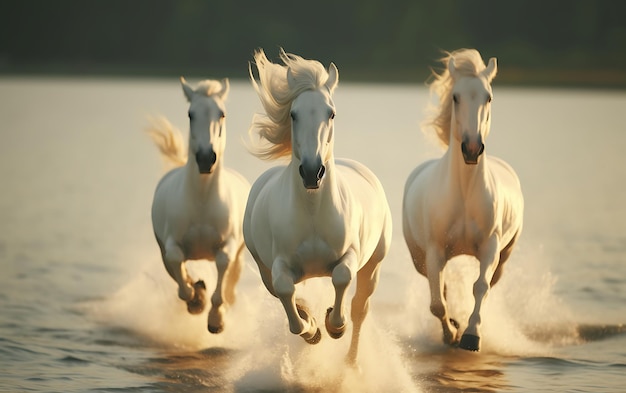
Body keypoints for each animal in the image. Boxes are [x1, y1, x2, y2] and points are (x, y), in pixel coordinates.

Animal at [147, 77, 250, 334]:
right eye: (190, 114)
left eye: (221, 114)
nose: (205, 158)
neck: (202, 201)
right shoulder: (171, 245)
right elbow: (179, 269)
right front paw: (196, 300)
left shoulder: (229, 246)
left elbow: (222, 272)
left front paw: (216, 320)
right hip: (162, 250)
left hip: (240, 256)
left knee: (231, 286)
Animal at [241, 49, 388, 364]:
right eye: (293, 114)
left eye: (331, 113)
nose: (312, 172)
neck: (312, 213)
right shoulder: (279, 265)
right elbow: (287, 292)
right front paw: (312, 329)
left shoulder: (351, 254)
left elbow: (342, 277)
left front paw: (334, 324)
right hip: (263, 268)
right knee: (282, 292)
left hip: (374, 263)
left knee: (360, 308)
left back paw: (350, 361)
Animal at [400, 49, 520, 352]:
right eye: (455, 96)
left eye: (488, 97)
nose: (472, 148)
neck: (464, 194)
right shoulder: (434, 251)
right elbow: (437, 303)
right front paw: (451, 334)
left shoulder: (490, 247)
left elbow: (480, 288)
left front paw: (470, 335)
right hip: (420, 259)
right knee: (440, 289)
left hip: (504, 257)